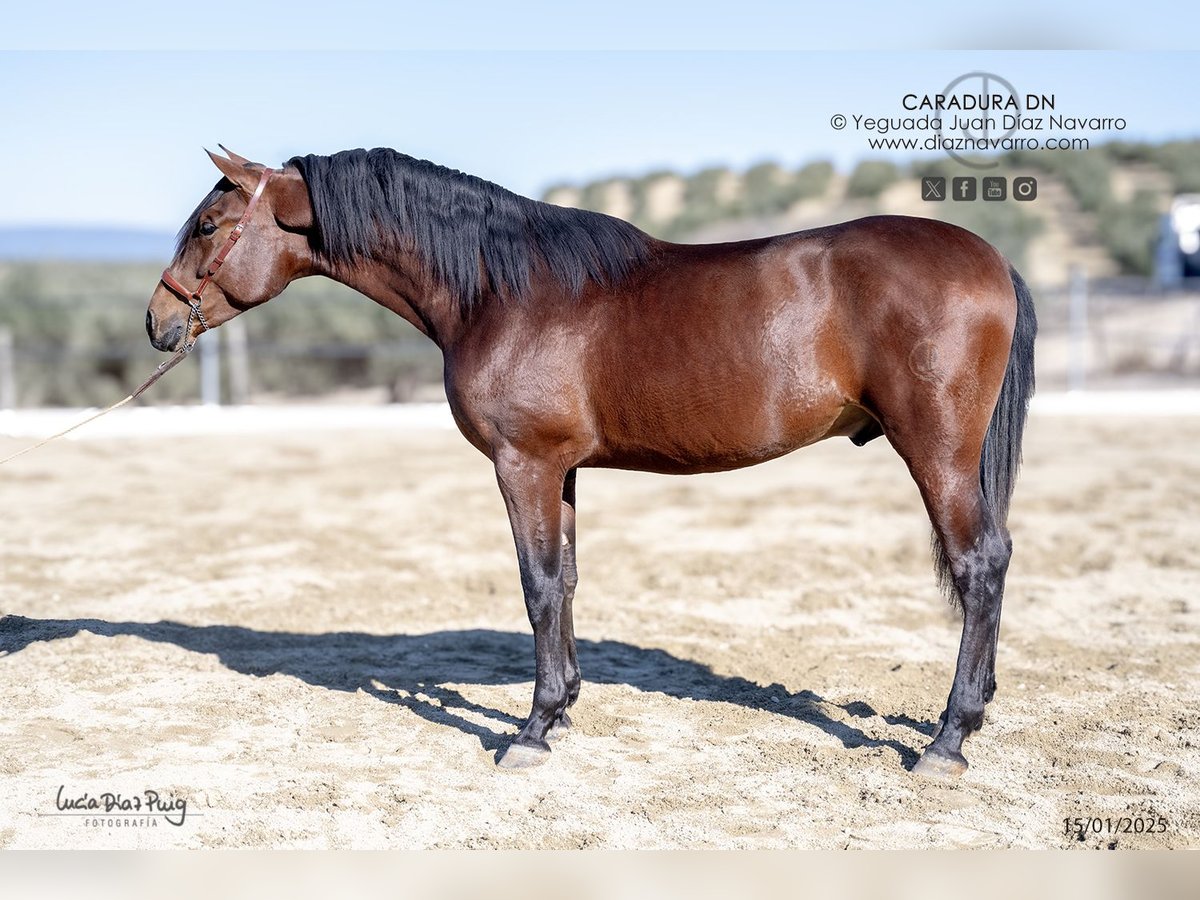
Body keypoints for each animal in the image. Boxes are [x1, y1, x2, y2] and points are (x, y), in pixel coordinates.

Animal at [147, 148, 1032, 782]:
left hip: (937, 450)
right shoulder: (563, 470)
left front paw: (532, 730)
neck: (500, 290)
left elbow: (536, 585)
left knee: (980, 563)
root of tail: (991, 260)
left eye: (207, 225)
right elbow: (566, 580)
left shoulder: (524, 464)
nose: (157, 322)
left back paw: (948, 740)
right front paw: (566, 706)